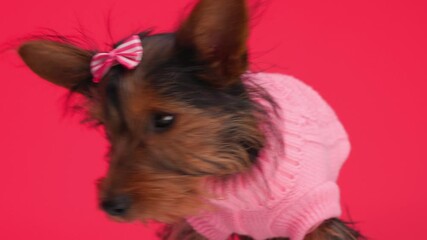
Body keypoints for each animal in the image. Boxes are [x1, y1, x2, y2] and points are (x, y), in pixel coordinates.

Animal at [18, 0, 362, 239]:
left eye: (164, 119)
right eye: (107, 128)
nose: (110, 206)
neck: (237, 188)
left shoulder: (317, 220)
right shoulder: (200, 227)